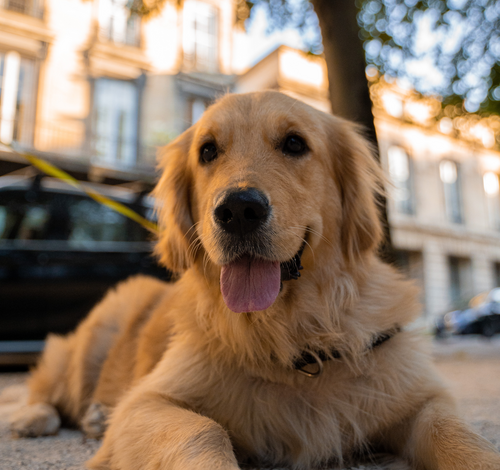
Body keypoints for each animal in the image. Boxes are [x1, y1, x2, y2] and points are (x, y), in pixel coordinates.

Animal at [9, 90, 500, 468]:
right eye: (208, 150)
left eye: (295, 144)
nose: (238, 210)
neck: (294, 337)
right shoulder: (148, 402)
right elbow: (204, 431)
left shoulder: (419, 396)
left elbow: (458, 434)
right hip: (97, 335)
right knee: (48, 382)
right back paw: (35, 417)